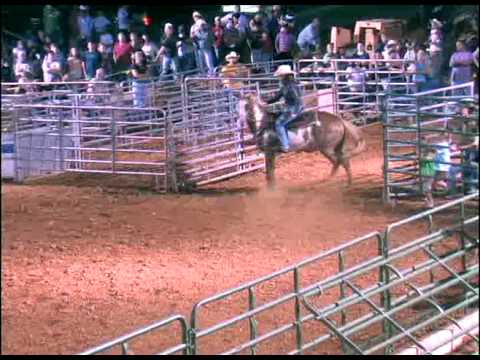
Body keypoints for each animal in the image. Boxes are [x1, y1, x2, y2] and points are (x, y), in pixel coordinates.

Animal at [238, 93, 366, 187]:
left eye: (242, 106)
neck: (263, 123)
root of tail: (339, 120)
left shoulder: (269, 151)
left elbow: (270, 172)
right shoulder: (271, 153)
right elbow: (271, 171)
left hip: (328, 149)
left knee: (341, 161)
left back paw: (343, 182)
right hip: (331, 149)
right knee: (340, 162)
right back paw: (335, 180)